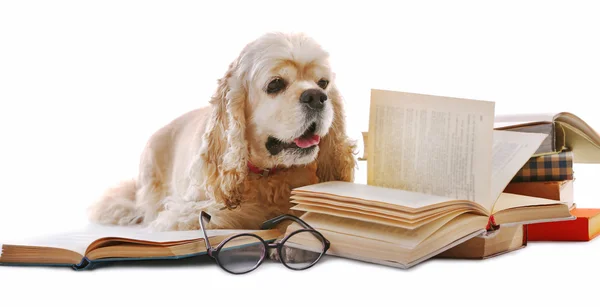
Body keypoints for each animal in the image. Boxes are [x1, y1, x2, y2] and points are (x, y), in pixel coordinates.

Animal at [89, 32, 356, 232]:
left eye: (323, 83)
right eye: (275, 84)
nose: (317, 97)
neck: (269, 177)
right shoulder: (184, 211)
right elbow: (240, 212)